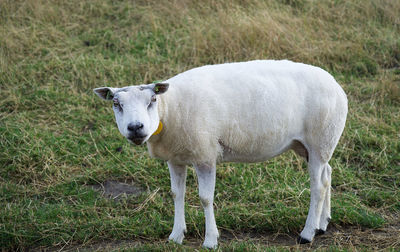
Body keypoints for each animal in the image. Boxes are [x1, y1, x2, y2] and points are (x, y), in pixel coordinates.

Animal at [93, 59, 346, 248]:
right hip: (311, 146)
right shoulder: (175, 158)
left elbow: (205, 198)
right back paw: (322, 224)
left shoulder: (205, 155)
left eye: (152, 99)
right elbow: (177, 194)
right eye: (116, 103)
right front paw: (176, 236)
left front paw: (210, 240)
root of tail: (336, 84)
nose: (136, 127)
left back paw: (307, 233)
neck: (170, 108)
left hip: (320, 139)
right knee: (327, 175)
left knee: (318, 186)